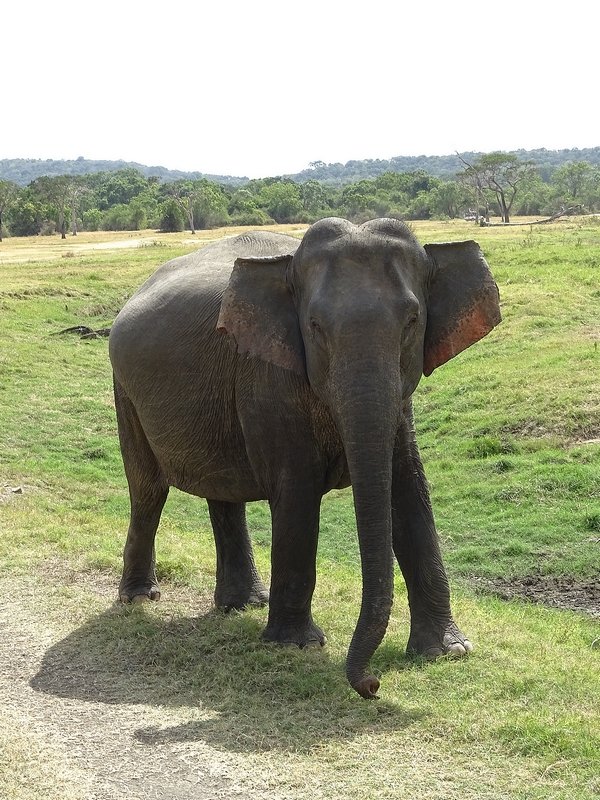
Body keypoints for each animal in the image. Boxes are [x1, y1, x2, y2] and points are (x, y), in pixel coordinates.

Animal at [108, 217, 501, 699]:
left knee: (223, 494)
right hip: (125, 393)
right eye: (314, 326)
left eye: (412, 321)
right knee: (148, 492)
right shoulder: (269, 379)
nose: (372, 684)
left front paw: (447, 651)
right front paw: (296, 646)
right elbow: (296, 493)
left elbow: (409, 490)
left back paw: (243, 605)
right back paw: (140, 598)